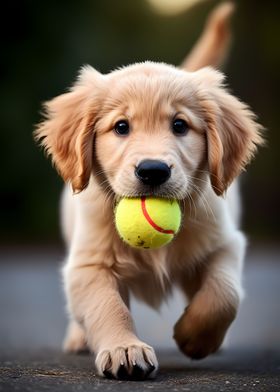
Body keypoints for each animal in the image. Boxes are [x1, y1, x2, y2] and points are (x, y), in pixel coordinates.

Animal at [34, 0, 262, 380]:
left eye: (180, 125)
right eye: (121, 127)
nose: (153, 171)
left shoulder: (224, 243)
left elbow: (223, 294)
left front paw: (194, 336)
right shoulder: (90, 262)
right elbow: (108, 306)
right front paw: (124, 349)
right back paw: (80, 338)